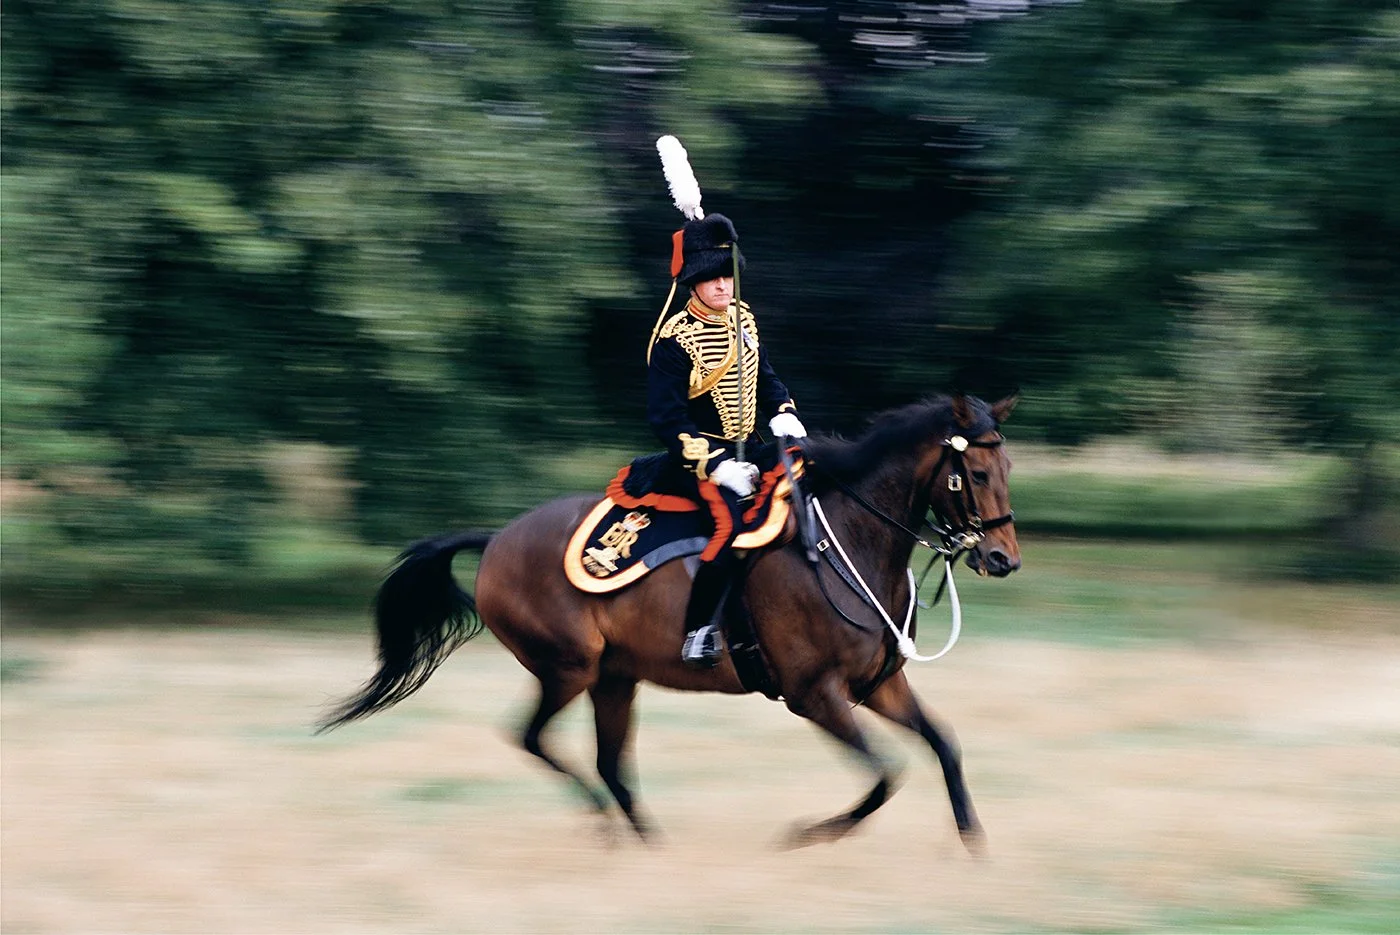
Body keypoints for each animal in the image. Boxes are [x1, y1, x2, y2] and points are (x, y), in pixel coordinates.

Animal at [321, 394, 1020, 850]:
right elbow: (884, 775)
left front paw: (971, 838)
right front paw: (810, 834)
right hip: (569, 670)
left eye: (1008, 469)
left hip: (614, 679)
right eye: (974, 472)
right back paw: (605, 823)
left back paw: (644, 839)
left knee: (606, 761)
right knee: (535, 740)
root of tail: (496, 541)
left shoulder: (879, 685)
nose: (1002, 559)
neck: (843, 543)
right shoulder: (815, 694)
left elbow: (943, 745)